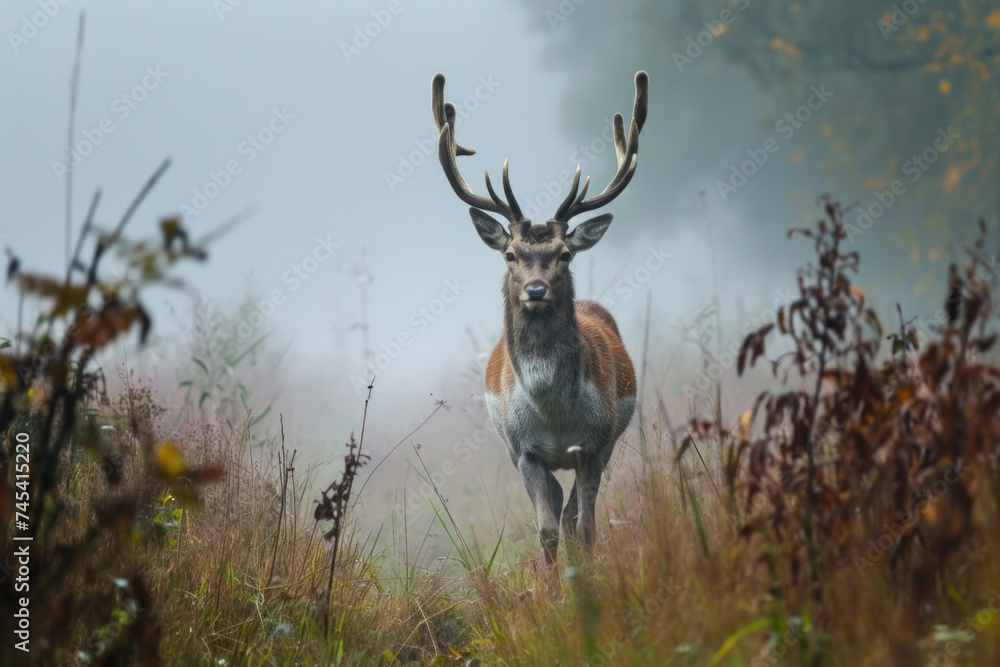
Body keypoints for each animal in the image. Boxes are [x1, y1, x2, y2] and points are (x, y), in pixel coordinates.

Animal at [431, 70, 648, 564]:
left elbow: (583, 526)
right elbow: (547, 529)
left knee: (574, 514)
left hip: (609, 441)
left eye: (564, 253)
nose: (535, 290)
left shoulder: (595, 442)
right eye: (511, 253)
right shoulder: (523, 449)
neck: (555, 416)